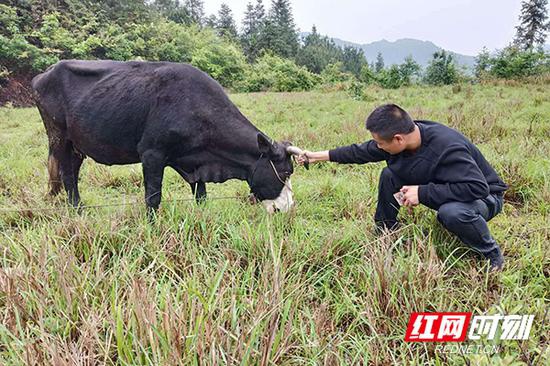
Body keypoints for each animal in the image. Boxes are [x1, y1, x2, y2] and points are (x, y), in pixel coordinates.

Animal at [33, 60, 306, 213]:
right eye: (285, 172)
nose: (288, 208)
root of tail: (43, 74)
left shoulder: (192, 161)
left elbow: (201, 195)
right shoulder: (152, 154)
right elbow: (153, 198)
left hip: (78, 144)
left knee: (72, 172)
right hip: (58, 137)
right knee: (67, 175)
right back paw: (76, 210)